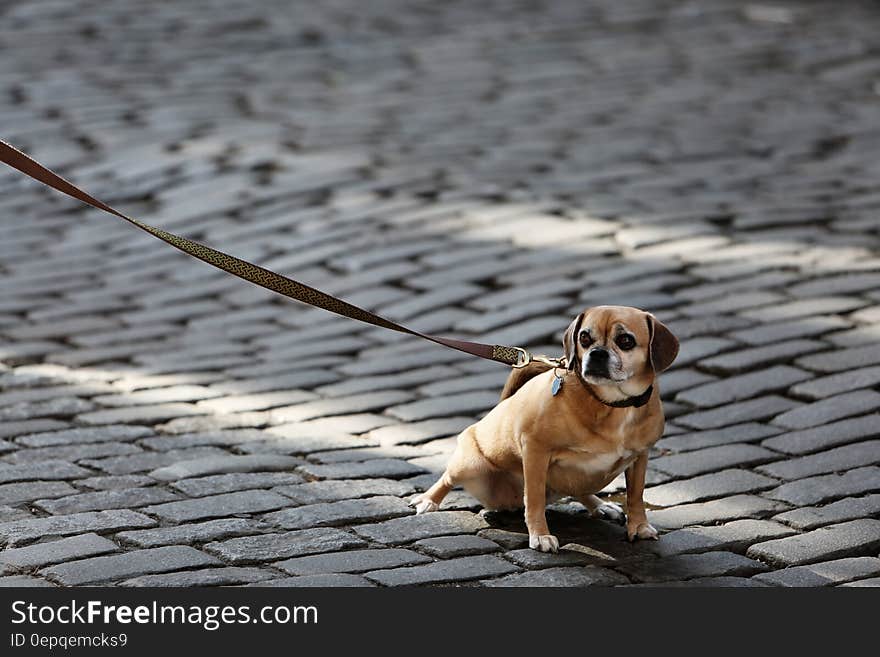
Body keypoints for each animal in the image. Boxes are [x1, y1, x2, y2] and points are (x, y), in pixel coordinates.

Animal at [410, 304, 680, 552]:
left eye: (625, 341)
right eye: (584, 338)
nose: (597, 353)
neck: (611, 404)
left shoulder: (640, 457)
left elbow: (636, 495)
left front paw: (639, 526)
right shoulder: (535, 450)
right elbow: (535, 498)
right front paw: (540, 535)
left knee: (579, 489)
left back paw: (601, 506)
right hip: (469, 465)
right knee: (447, 478)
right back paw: (428, 500)